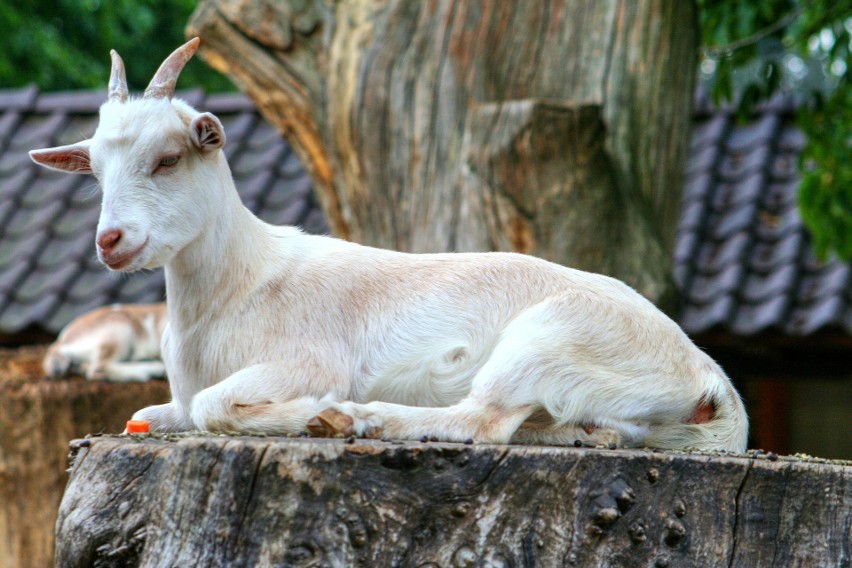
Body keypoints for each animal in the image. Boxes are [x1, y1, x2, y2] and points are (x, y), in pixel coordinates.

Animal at [28, 37, 744, 450]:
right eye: (94, 171)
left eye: (169, 159)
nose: (111, 241)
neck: (241, 283)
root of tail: (709, 376)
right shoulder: (173, 397)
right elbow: (147, 416)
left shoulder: (306, 358)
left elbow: (213, 406)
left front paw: (311, 411)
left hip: (550, 340)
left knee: (480, 420)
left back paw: (354, 419)